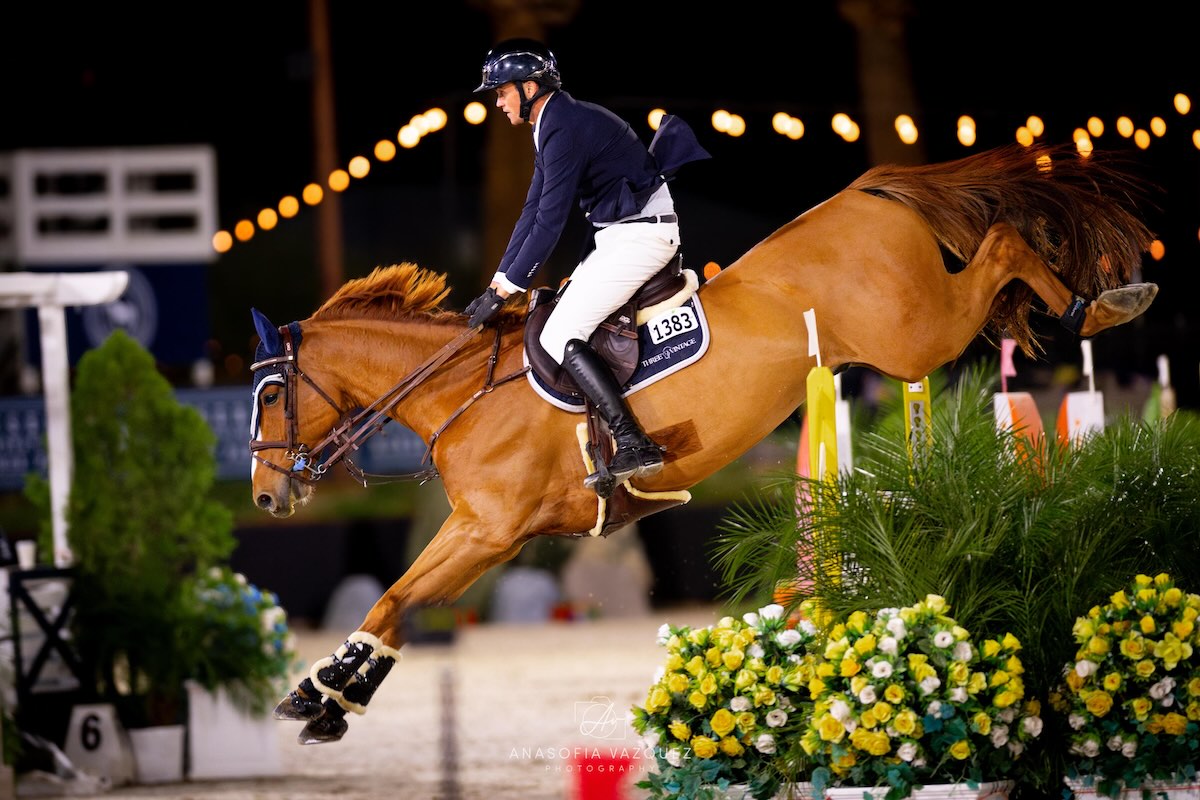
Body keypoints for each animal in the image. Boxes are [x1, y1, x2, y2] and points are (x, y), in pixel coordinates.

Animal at [248, 142, 1157, 744]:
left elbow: (394, 599)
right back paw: (1097, 304)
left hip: (913, 340)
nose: (265, 494)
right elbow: (397, 606)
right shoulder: (487, 534)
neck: (461, 388)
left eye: (270, 394)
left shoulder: (488, 531)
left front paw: (323, 696)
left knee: (1003, 242)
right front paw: (327, 698)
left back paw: (1102, 306)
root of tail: (864, 191)